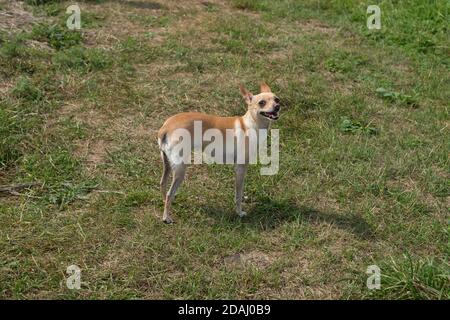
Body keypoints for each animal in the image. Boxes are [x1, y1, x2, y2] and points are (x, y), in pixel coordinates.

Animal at [156, 82, 280, 224]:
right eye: (262, 103)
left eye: (277, 99)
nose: (277, 107)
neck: (250, 125)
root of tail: (165, 127)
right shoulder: (240, 168)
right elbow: (238, 194)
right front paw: (239, 212)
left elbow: (240, 191)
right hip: (180, 170)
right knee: (170, 193)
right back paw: (166, 217)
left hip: (167, 164)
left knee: (163, 184)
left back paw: (165, 203)